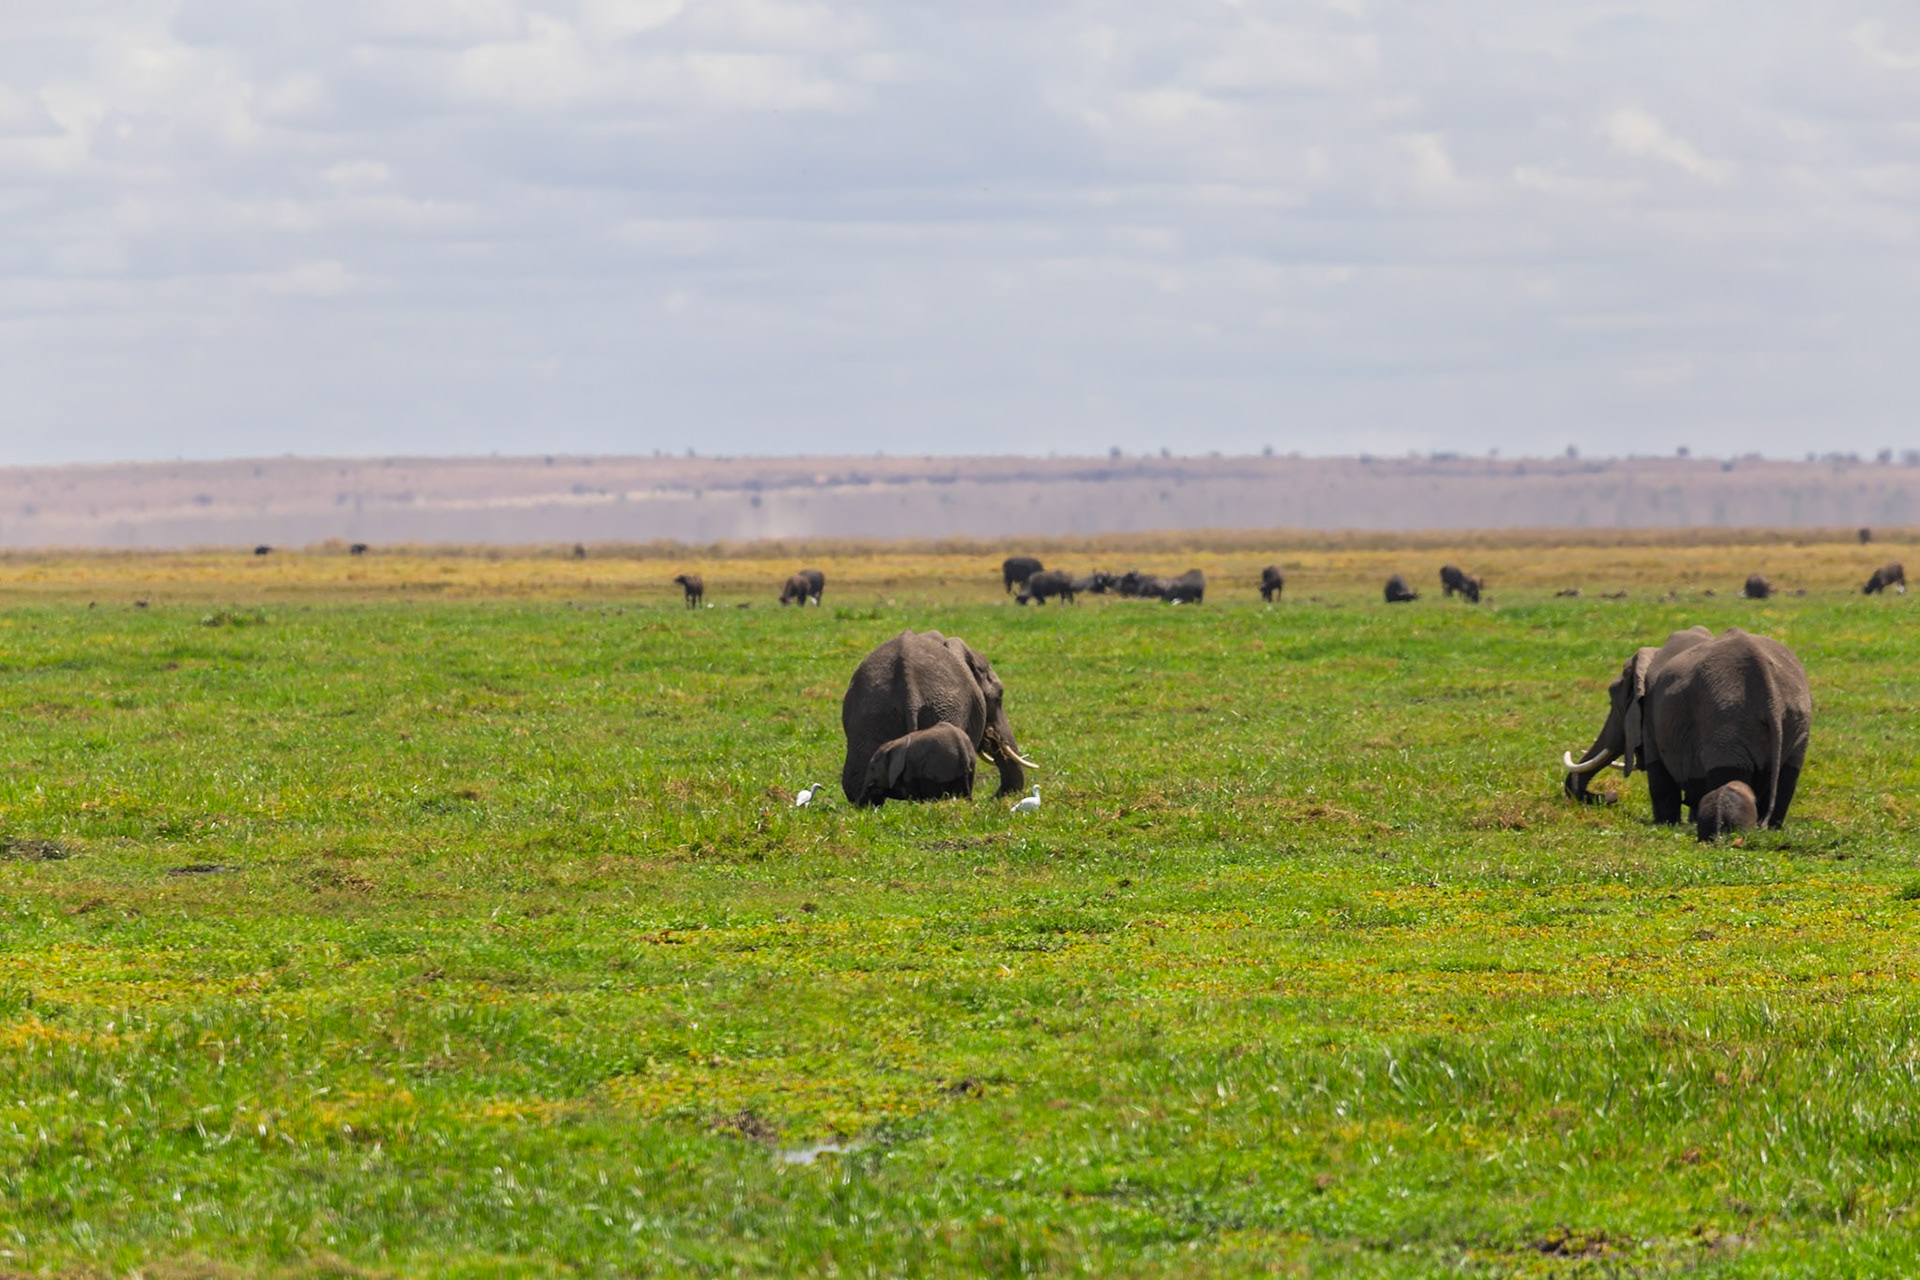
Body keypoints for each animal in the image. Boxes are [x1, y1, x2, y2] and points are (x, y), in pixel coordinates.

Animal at [841, 630, 1034, 805]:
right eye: (998, 698)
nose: (993, 797)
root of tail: (909, 691)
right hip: (945, 709)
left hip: (873, 716)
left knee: (856, 785)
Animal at [1561, 626, 1811, 830]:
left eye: (1613, 701)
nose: (1609, 796)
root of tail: (1769, 688)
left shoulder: (1652, 716)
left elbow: (1659, 777)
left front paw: (1665, 825)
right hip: (1797, 720)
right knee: (1788, 777)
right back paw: (1769, 828)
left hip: (1725, 719)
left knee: (1729, 773)